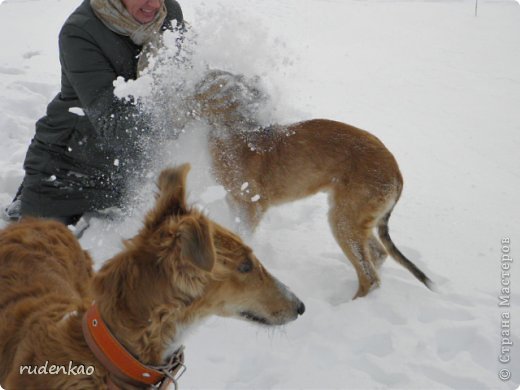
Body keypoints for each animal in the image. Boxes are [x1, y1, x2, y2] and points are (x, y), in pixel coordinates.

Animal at [193, 71, 432, 298]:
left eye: (209, 84)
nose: (192, 91)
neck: (236, 132)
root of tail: (396, 173)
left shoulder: (253, 205)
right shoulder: (233, 201)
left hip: (343, 219)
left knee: (370, 277)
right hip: (356, 217)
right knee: (378, 255)